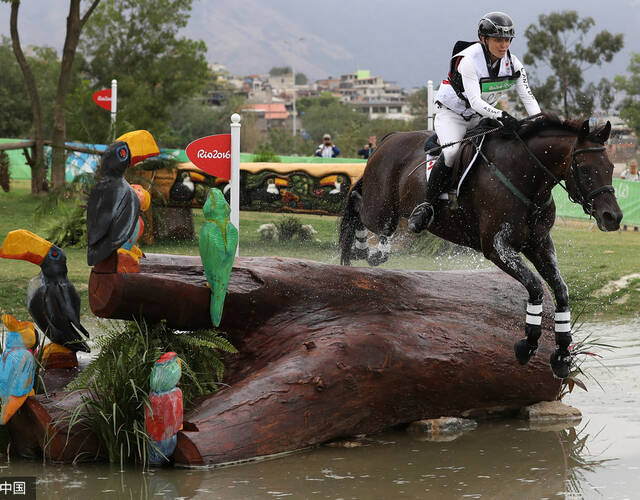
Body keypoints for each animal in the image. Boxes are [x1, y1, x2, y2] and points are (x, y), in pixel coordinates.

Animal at [342, 112, 624, 378]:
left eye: (610, 167)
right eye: (584, 169)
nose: (613, 217)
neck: (525, 177)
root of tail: (389, 138)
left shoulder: (539, 244)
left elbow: (561, 291)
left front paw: (563, 356)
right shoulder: (496, 247)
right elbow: (535, 286)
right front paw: (528, 344)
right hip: (381, 210)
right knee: (356, 202)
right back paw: (357, 251)